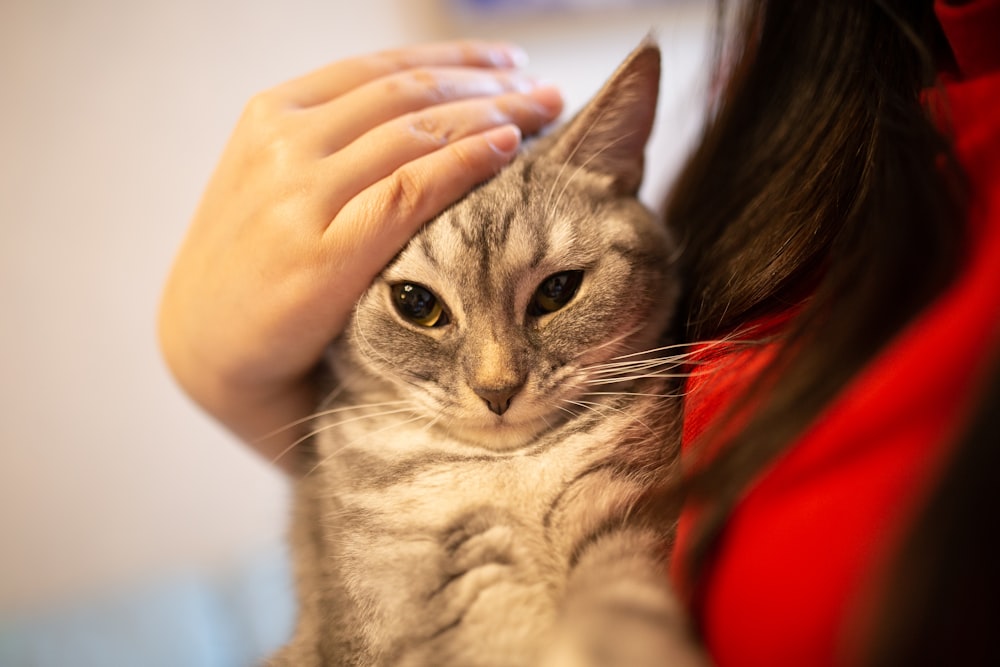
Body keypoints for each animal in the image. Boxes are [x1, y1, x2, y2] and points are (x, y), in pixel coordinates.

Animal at [266, 43, 704, 667]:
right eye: (416, 303)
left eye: (558, 290)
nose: (498, 391)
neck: (507, 477)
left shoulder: (623, 516)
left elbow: (623, 611)